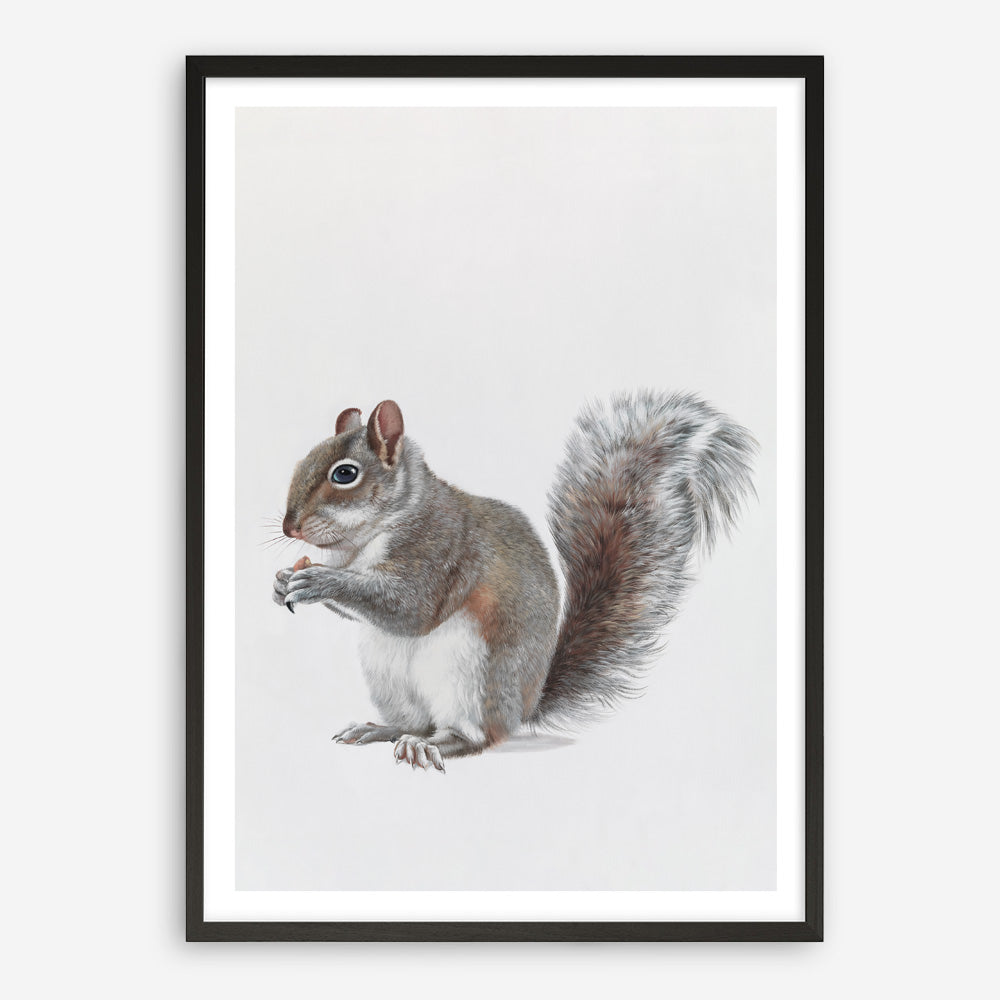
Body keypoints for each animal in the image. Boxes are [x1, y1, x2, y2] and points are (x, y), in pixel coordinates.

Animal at [273, 391, 756, 772]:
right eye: (303, 460)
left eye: (345, 474)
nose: (288, 527)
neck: (365, 539)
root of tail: (521, 710)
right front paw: (282, 583)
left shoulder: (441, 550)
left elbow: (412, 607)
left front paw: (318, 581)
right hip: (386, 673)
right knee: (416, 721)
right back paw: (381, 729)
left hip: (471, 676)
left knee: (470, 737)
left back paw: (428, 746)